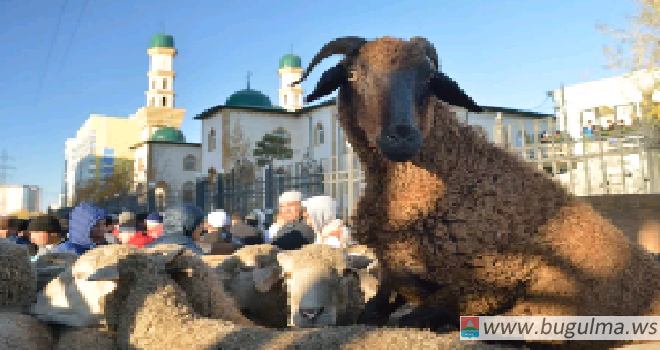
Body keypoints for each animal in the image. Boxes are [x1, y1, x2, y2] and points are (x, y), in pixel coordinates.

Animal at [292, 36, 660, 350]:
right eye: (353, 73)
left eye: (429, 78)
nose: (403, 136)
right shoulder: (393, 270)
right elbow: (372, 310)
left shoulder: (489, 282)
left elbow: (412, 319)